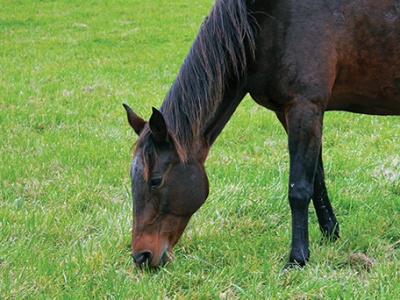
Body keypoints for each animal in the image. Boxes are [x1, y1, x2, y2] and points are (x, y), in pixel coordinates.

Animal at [123, 0, 398, 268]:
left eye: (155, 181)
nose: (142, 257)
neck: (266, 22)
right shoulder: (289, 113)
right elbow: (317, 178)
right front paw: (330, 233)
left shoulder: (304, 107)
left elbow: (299, 188)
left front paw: (297, 258)